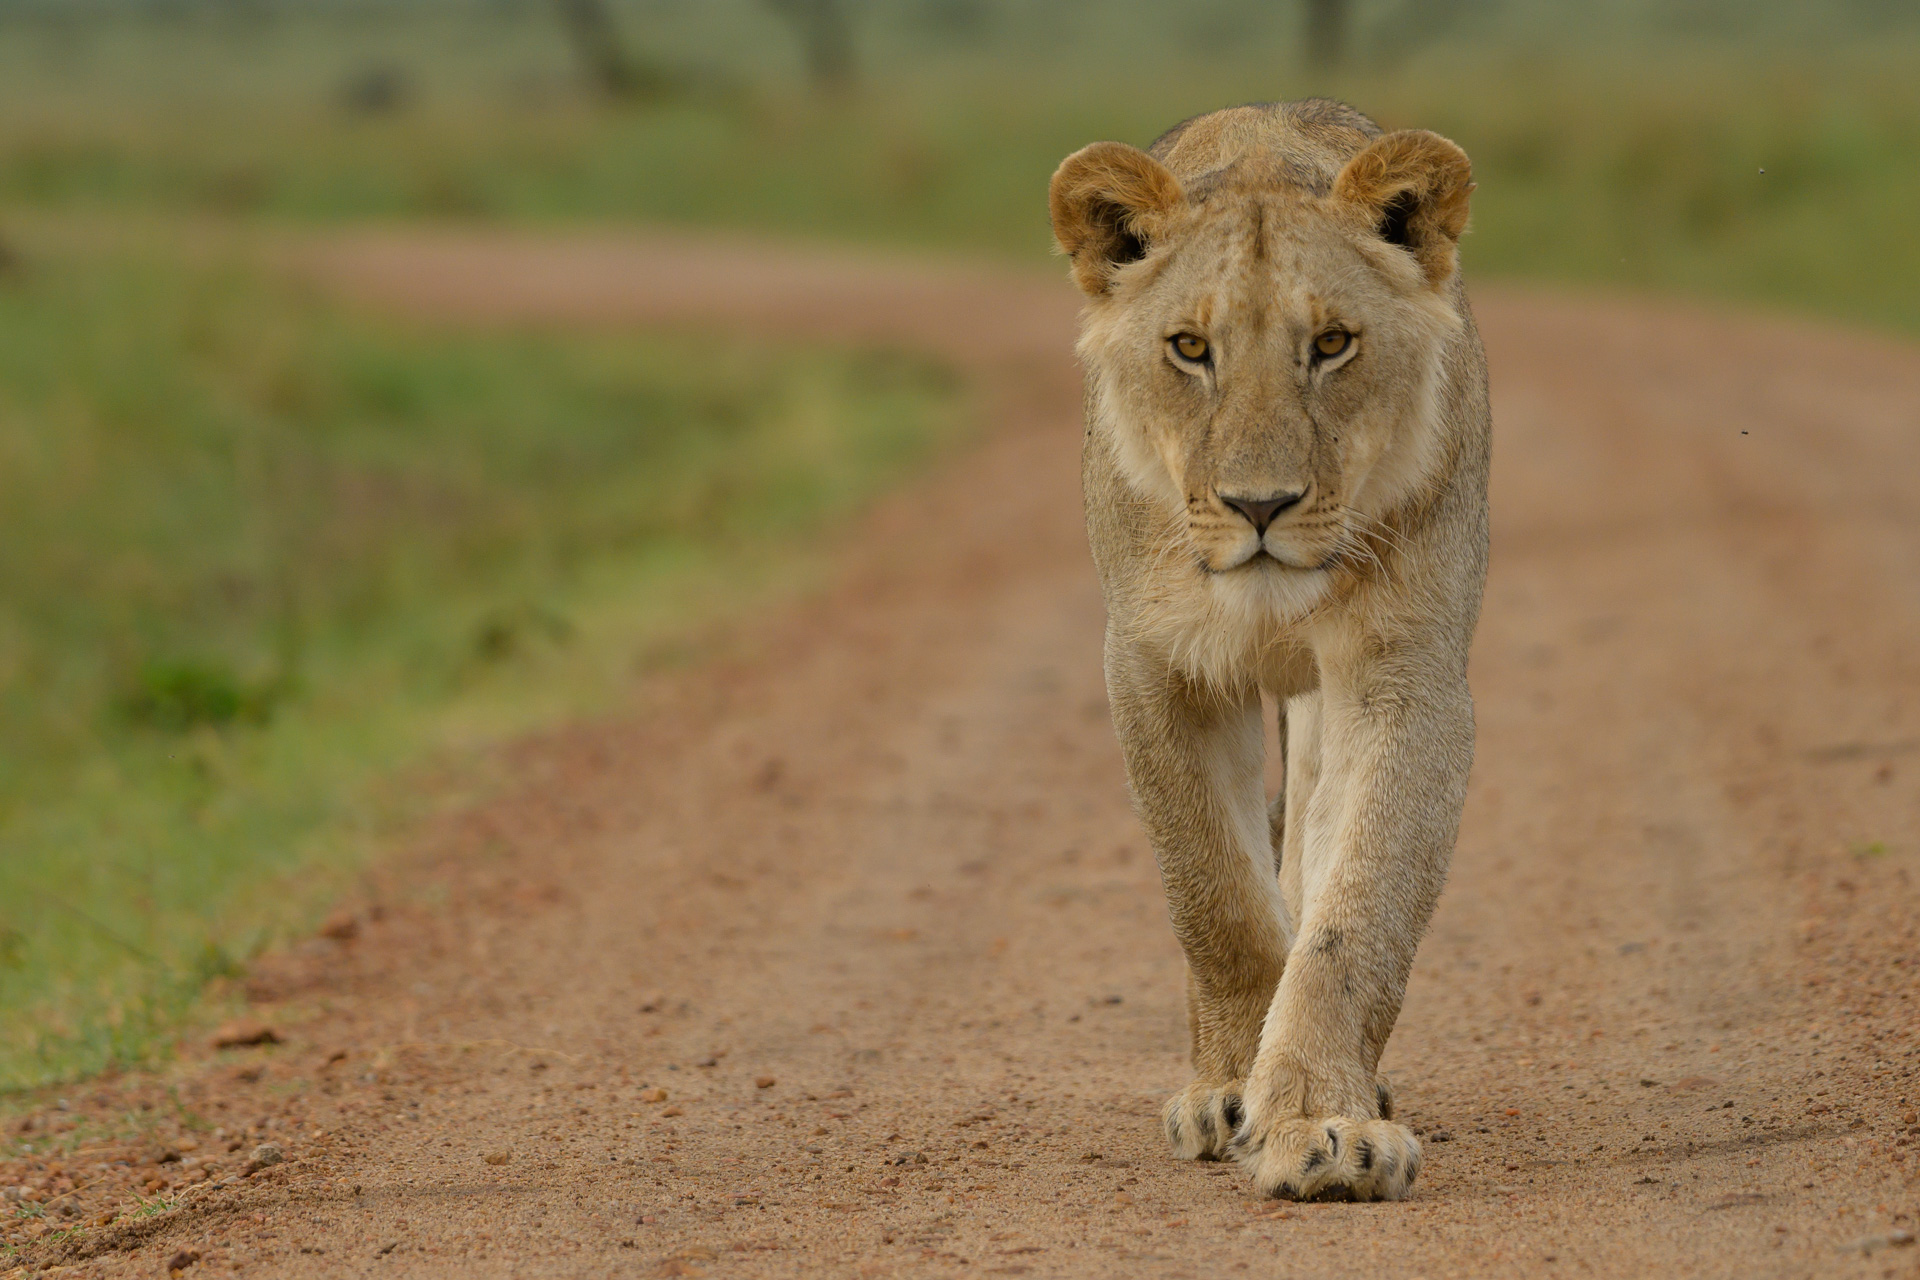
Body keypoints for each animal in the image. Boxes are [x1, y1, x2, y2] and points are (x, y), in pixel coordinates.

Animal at [1052, 102, 1482, 1205]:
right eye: (1189, 347)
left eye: (1331, 343)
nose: (1260, 505)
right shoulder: (1153, 667)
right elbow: (1219, 901)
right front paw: (1239, 1095)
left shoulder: (1405, 673)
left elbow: (1353, 916)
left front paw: (1326, 1121)